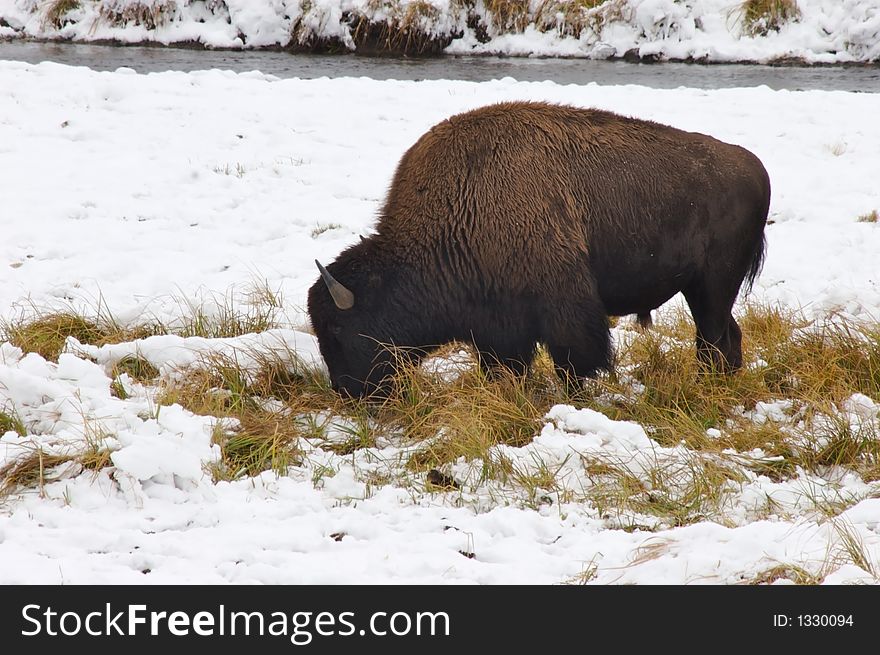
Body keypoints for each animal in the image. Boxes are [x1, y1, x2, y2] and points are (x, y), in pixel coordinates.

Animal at [308, 100, 768, 398]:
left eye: (338, 329)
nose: (345, 391)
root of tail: (754, 167)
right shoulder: (497, 327)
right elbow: (506, 365)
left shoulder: (565, 307)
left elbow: (575, 362)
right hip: (702, 291)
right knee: (726, 337)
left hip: (712, 287)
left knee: (714, 340)